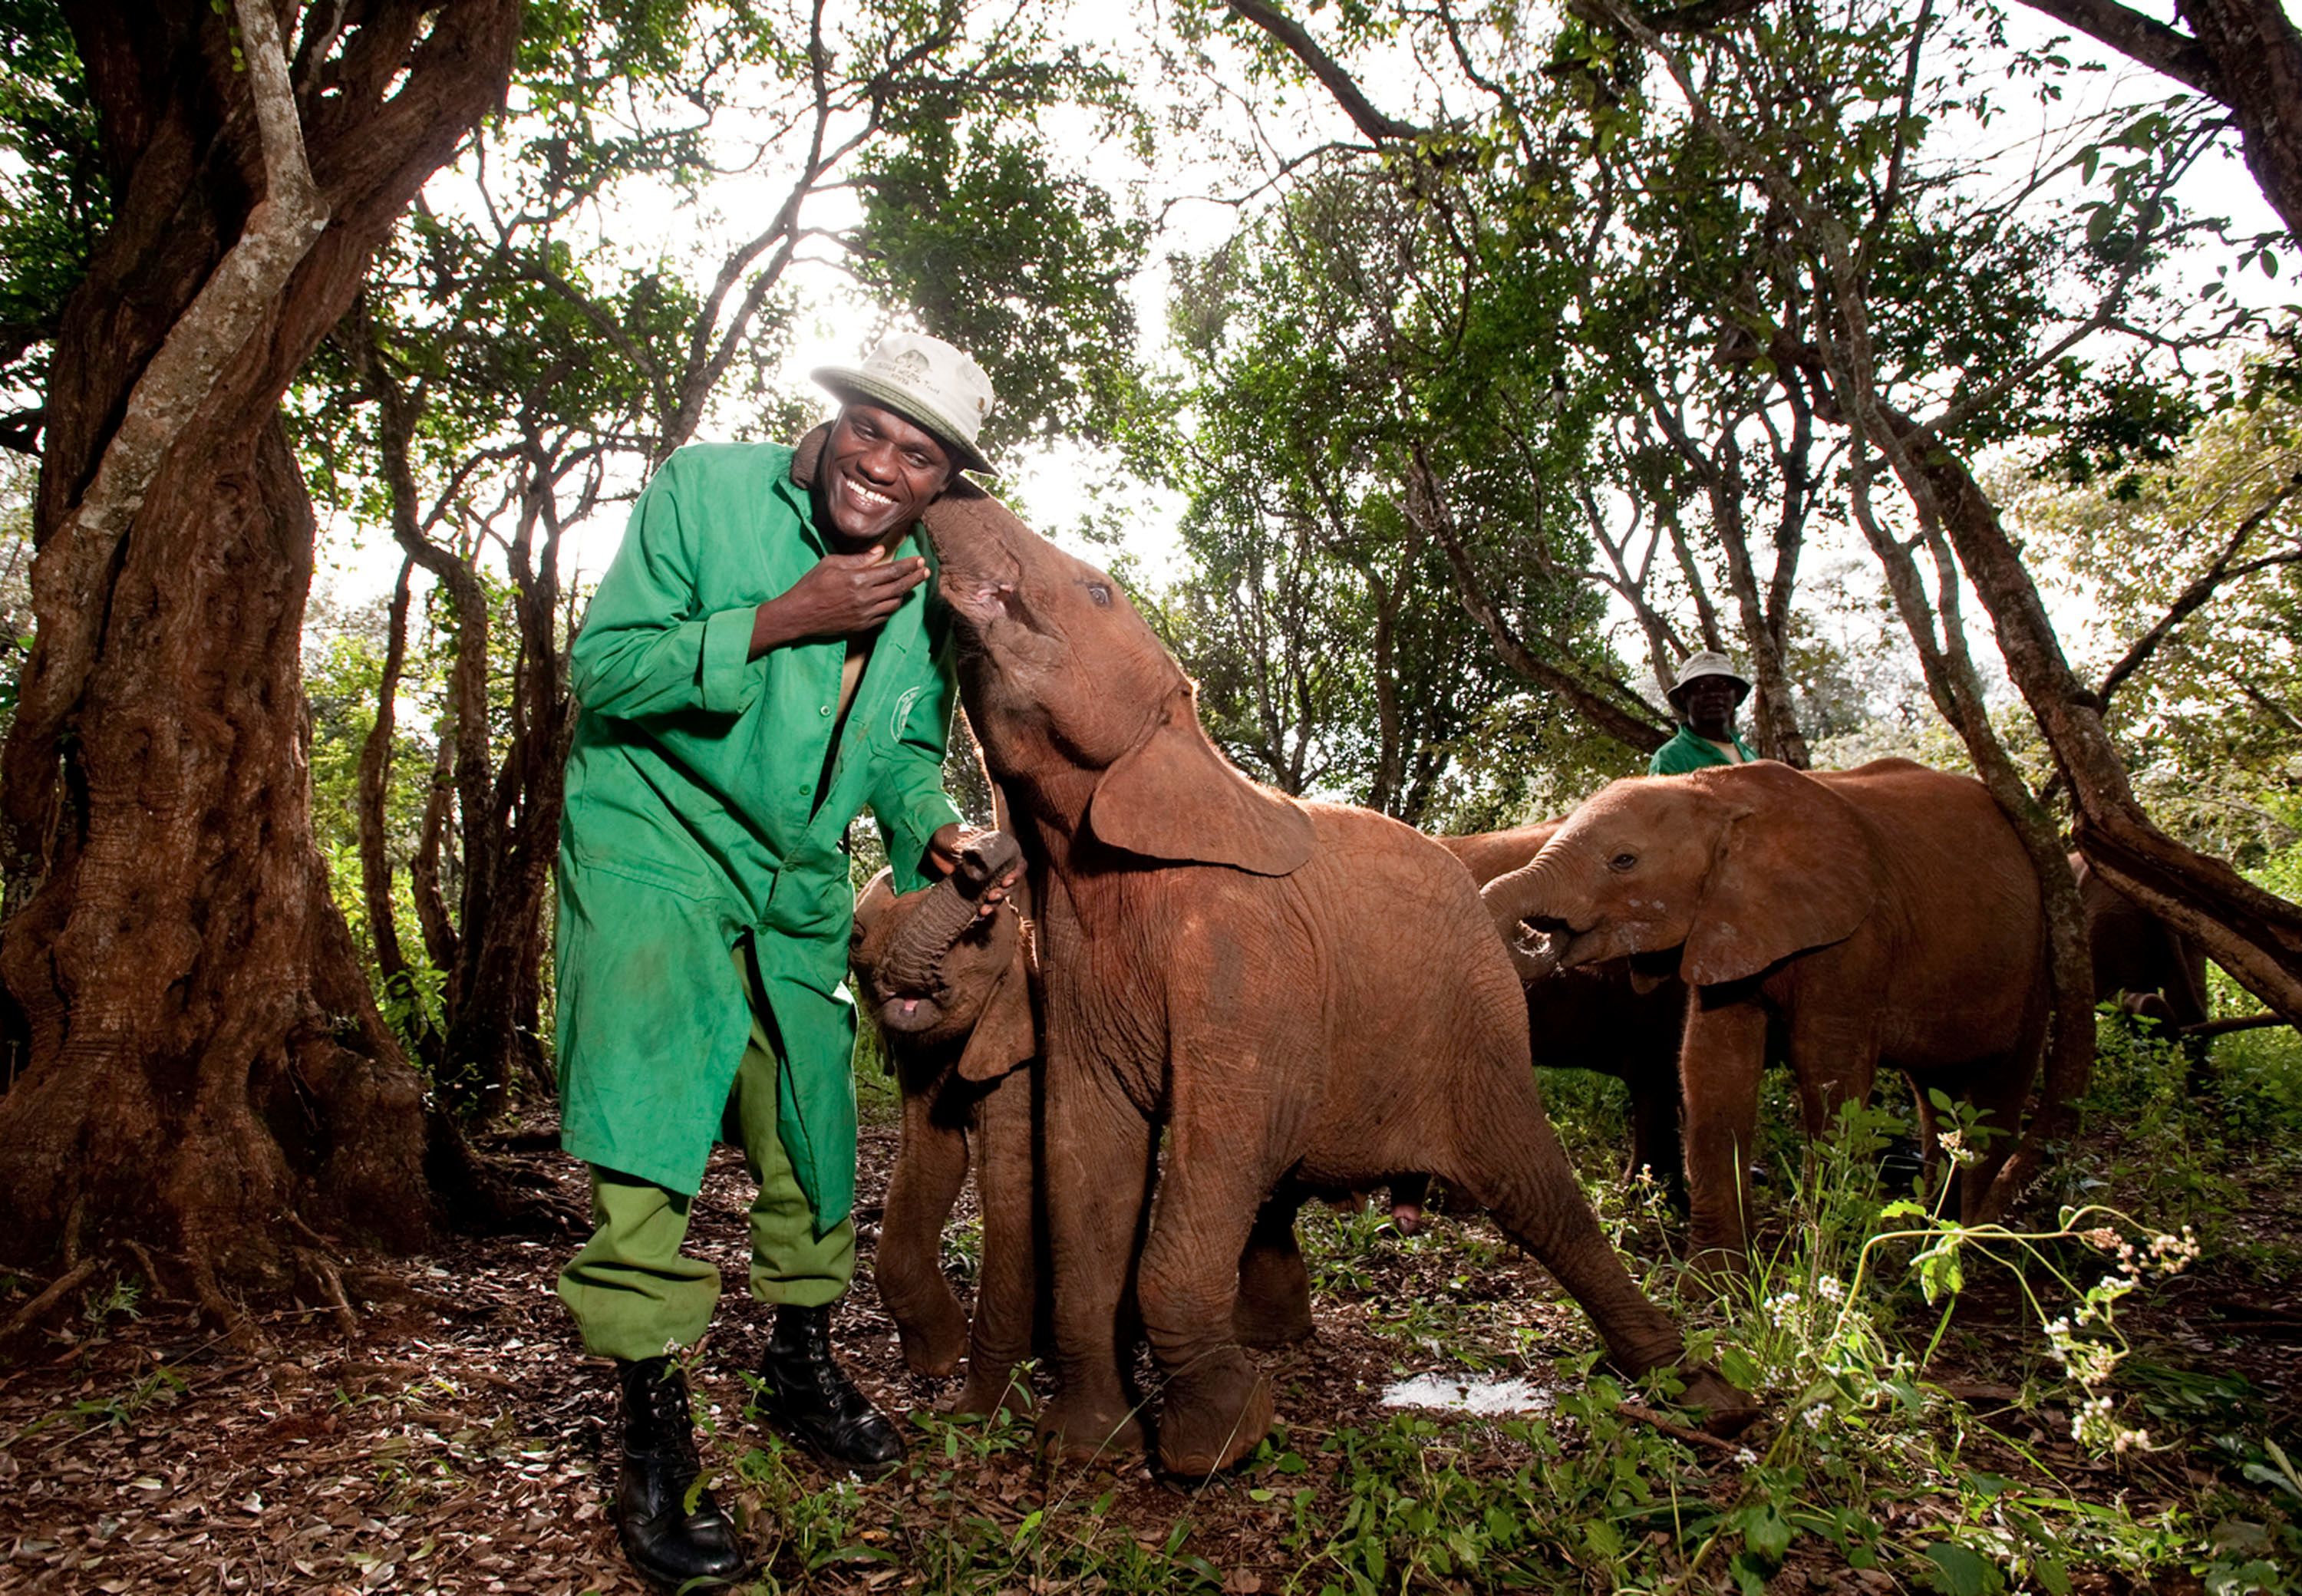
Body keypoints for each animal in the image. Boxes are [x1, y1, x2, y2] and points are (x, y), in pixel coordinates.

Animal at [907, 479, 1750, 1473]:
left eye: (1099, 590)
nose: (957, 482)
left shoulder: (1243, 955)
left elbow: (1227, 1137)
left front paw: (1213, 1445)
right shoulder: (1075, 977)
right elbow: (1086, 1165)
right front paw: (1084, 1448)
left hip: (1477, 1029)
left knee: (1540, 1196)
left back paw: (1710, 1399)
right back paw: (1275, 1338)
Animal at [1492, 760, 2053, 1271]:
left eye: (1623, 860)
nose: (1544, 935)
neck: (1719, 794)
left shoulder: (1855, 935)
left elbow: (1830, 1072)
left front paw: (1820, 1265)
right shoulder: (1728, 922)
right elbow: (1711, 1066)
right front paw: (1714, 1286)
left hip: (2040, 956)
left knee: (1999, 1095)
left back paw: (1963, 1247)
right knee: (1936, 1093)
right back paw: (1930, 1235)